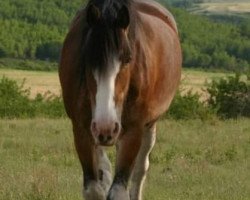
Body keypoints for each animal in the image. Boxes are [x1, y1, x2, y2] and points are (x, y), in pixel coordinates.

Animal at [59, 0, 182, 198]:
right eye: (86, 57)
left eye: (128, 59)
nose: (106, 127)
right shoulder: (80, 129)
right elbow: (93, 188)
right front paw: (104, 177)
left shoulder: (133, 130)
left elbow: (119, 190)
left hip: (149, 127)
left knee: (140, 170)